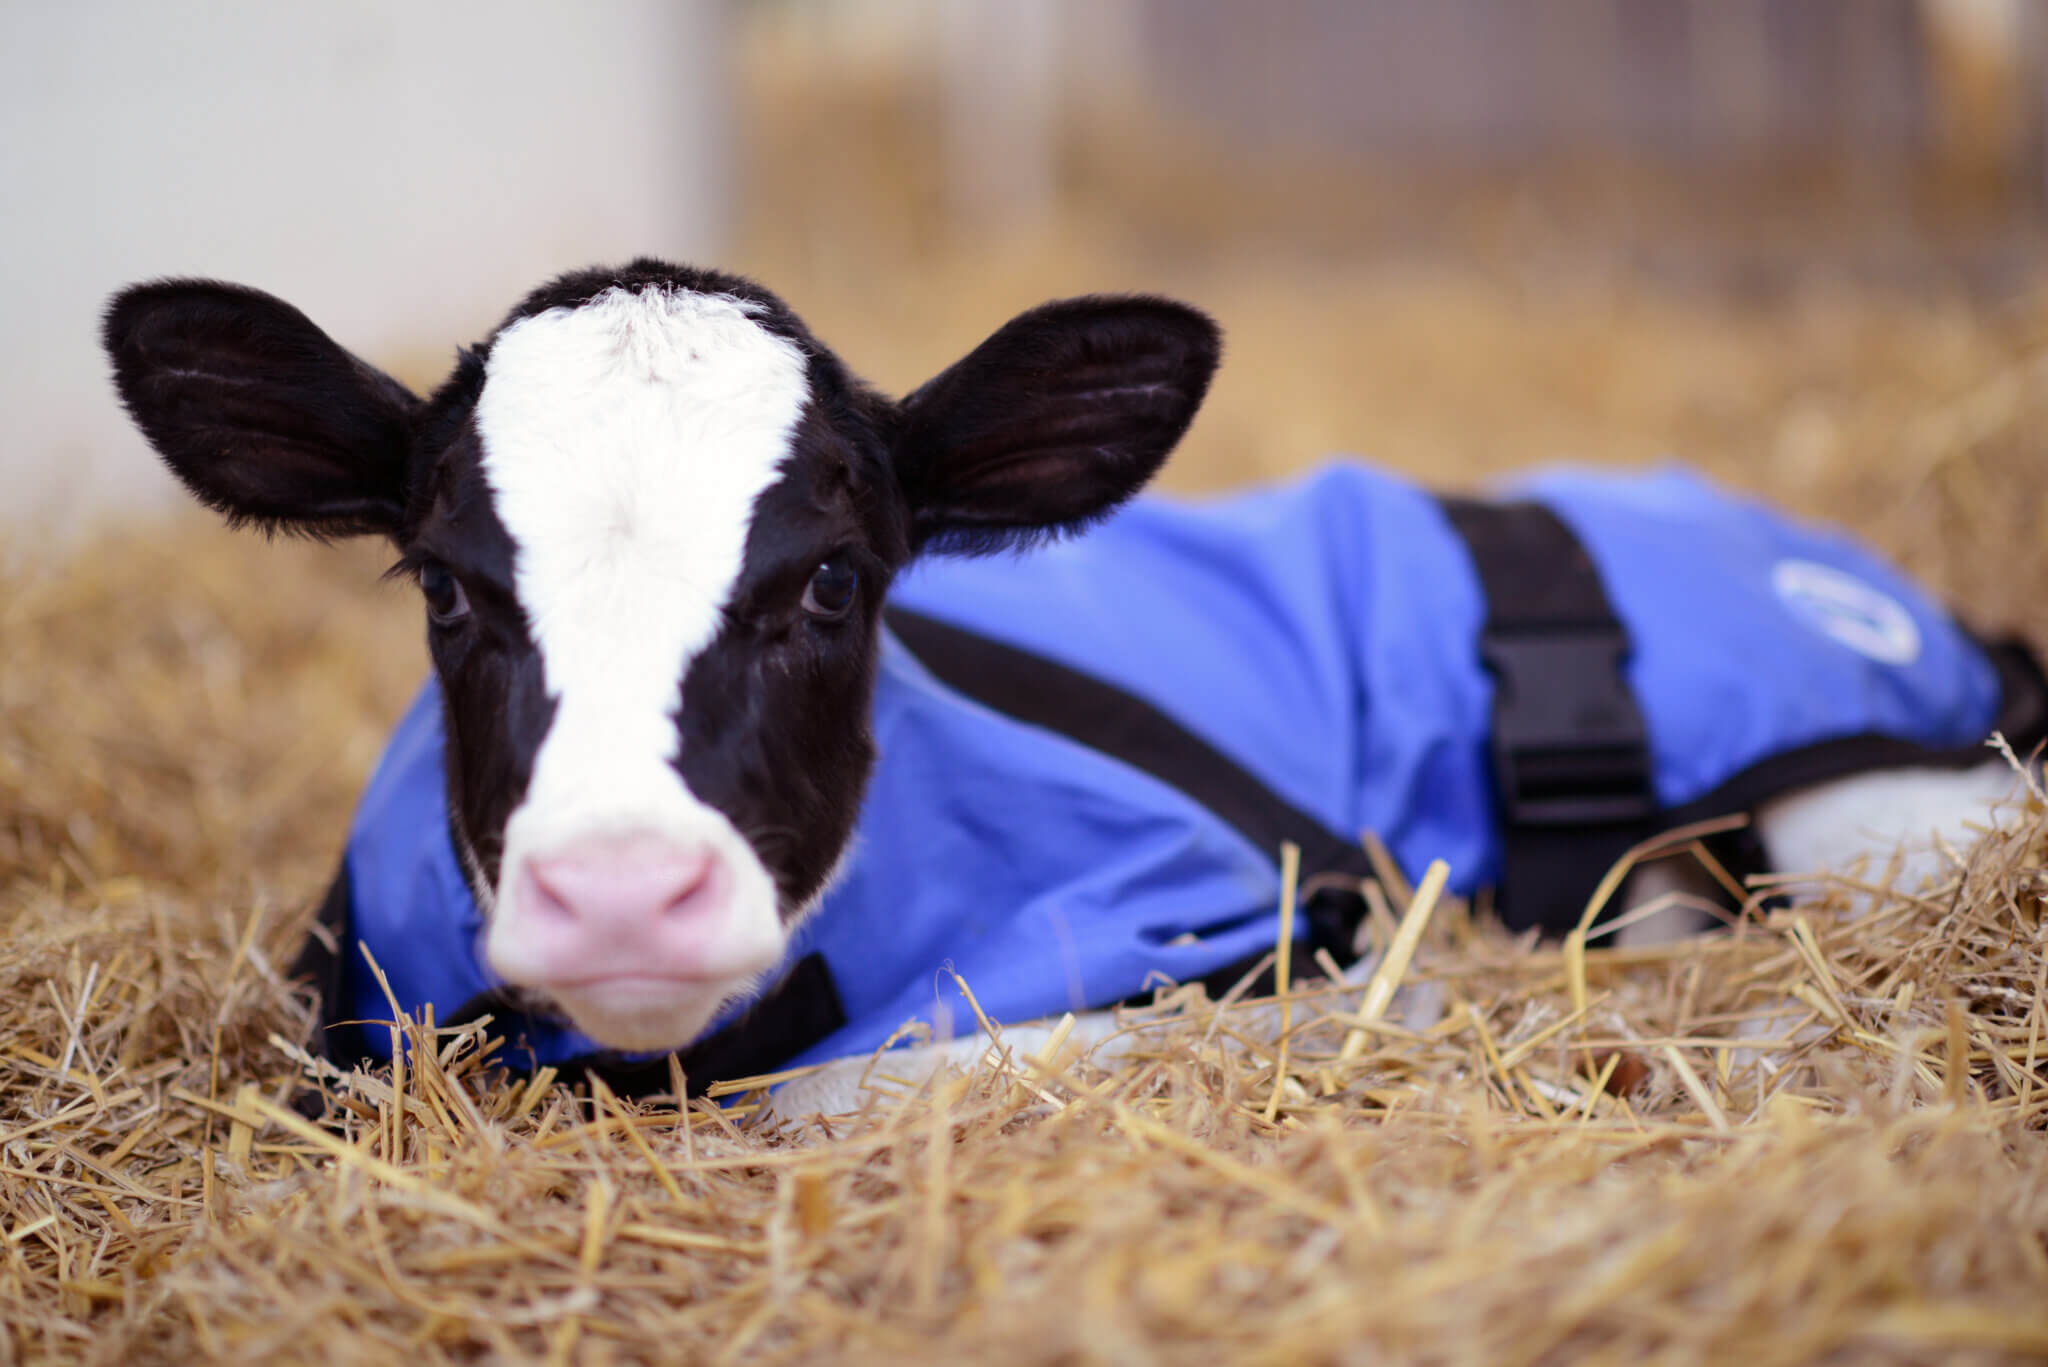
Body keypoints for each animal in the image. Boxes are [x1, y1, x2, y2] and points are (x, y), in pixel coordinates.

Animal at [101, 260, 2047, 1097]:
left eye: (834, 578)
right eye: (445, 583)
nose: (621, 889)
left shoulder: (1256, 918)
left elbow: (879, 1078)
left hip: (1893, 807)